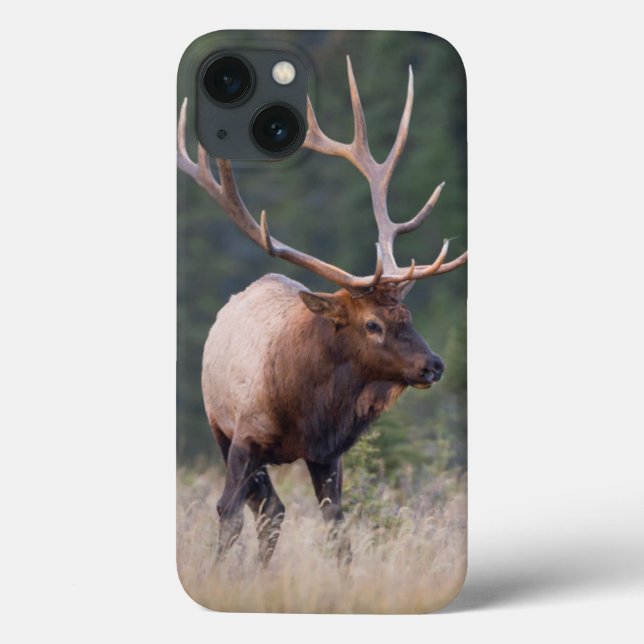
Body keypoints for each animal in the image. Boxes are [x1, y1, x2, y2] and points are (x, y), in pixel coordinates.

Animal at [177, 56, 467, 567]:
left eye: (407, 318)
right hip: (219, 427)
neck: (305, 408)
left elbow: (338, 530)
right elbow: (227, 513)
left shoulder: (329, 454)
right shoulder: (244, 436)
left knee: (273, 511)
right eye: (372, 324)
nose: (433, 365)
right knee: (264, 509)